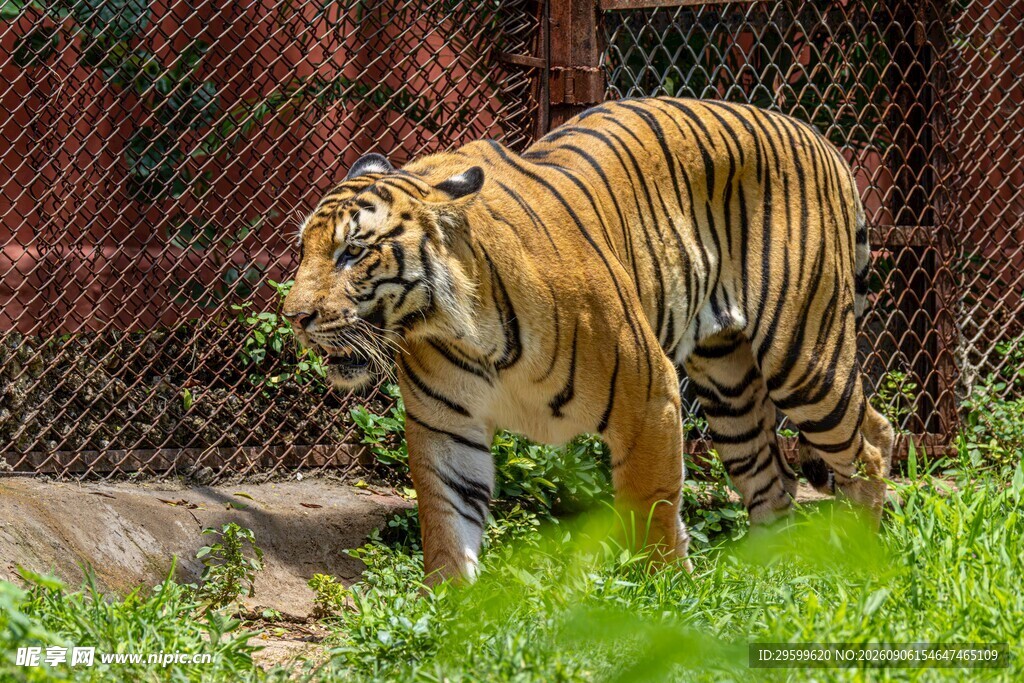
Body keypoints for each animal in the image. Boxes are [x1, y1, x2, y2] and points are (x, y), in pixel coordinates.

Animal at [283, 97, 895, 584]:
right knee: (774, 478)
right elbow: (446, 518)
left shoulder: (648, 395)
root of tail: (818, 136)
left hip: (804, 357)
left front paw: (665, 595)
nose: (295, 316)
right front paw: (450, 608)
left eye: (353, 252)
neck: (458, 327)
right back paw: (777, 571)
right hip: (730, 387)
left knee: (871, 441)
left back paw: (861, 556)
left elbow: (650, 503)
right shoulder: (445, 425)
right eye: (304, 249)